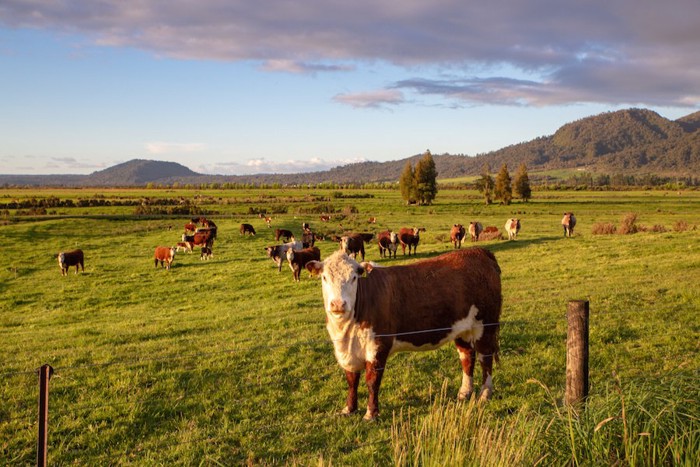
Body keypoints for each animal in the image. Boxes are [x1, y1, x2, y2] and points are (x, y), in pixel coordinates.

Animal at [304, 249, 500, 420]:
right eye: (324, 277)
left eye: (353, 278)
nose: (338, 304)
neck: (346, 331)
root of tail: (479, 251)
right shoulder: (347, 352)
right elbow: (352, 380)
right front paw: (349, 409)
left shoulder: (378, 345)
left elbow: (372, 381)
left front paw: (371, 414)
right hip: (462, 328)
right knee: (467, 357)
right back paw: (464, 392)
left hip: (486, 325)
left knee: (485, 358)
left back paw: (485, 394)